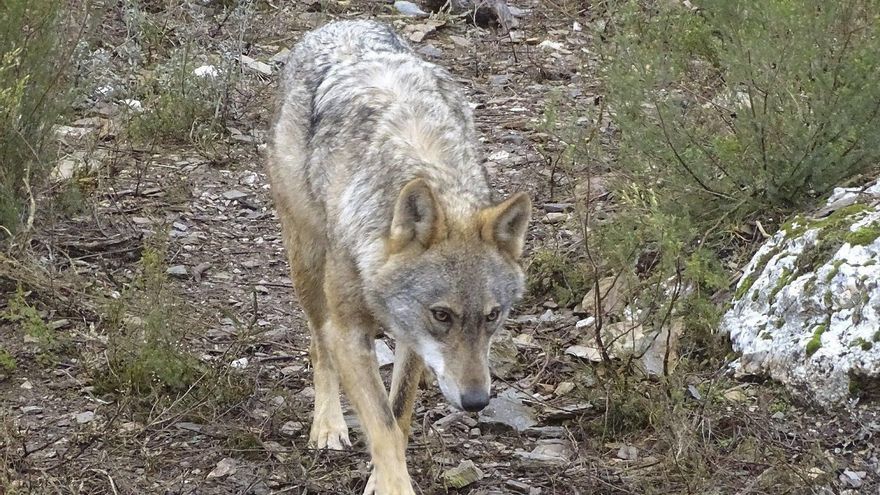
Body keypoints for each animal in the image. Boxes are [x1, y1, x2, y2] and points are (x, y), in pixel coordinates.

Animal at [266, 20, 531, 494]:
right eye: (442, 315)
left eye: (493, 316)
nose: (477, 401)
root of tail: (341, 23)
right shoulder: (350, 332)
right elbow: (382, 425)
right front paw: (392, 482)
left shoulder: (411, 337)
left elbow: (399, 414)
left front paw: (381, 476)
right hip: (307, 264)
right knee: (318, 346)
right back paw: (328, 426)